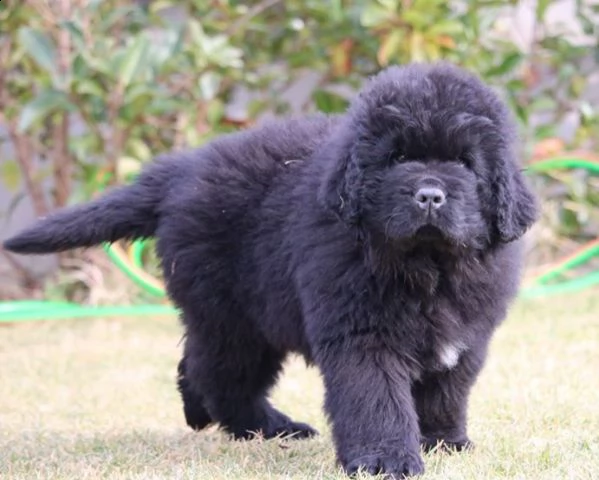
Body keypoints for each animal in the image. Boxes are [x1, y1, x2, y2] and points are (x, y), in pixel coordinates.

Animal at [3, 62, 540, 476]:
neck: (429, 267)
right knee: (220, 374)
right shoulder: (363, 335)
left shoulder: (465, 337)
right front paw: (385, 460)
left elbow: (445, 392)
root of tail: (182, 169)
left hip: (242, 315)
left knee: (196, 362)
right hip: (234, 315)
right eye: (398, 157)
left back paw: (209, 416)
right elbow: (377, 399)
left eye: (464, 163)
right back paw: (269, 426)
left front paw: (445, 441)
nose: (429, 195)